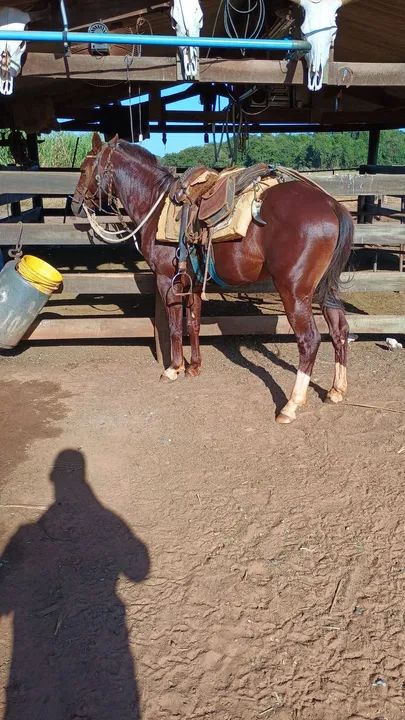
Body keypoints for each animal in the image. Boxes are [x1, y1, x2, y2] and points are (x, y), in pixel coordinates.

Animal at [71, 132, 354, 424]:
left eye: (83, 169)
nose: (76, 205)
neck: (155, 204)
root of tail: (331, 204)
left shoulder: (167, 281)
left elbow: (175, 326)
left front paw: (174, 368)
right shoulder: (193, 284)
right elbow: (193, 323)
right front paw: (194, 366)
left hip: (294, 291)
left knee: (309, 340)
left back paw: (291, 405)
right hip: (326, 290)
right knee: (340, 330)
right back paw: (336, 391)